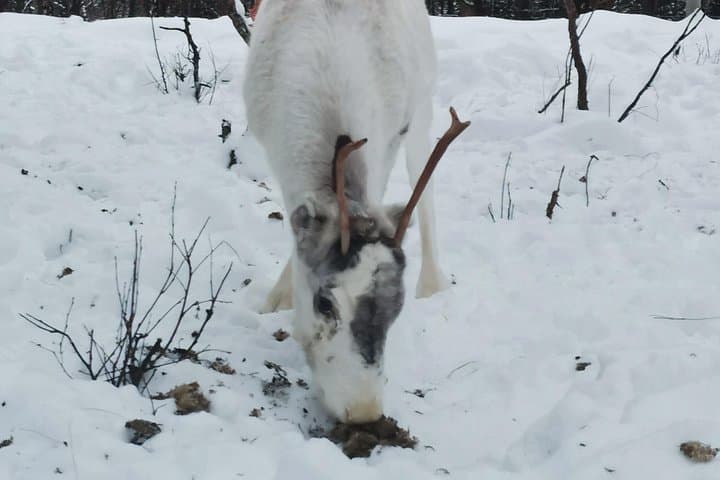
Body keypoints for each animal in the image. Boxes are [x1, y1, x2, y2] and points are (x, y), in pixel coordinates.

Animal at [243, 0, 470, 424]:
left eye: (396, 310)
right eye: (324, 303)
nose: (363, 412)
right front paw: (277, 300)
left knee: (425, 189)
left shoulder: (390, 139)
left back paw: (433, 283)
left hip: (423, 109)